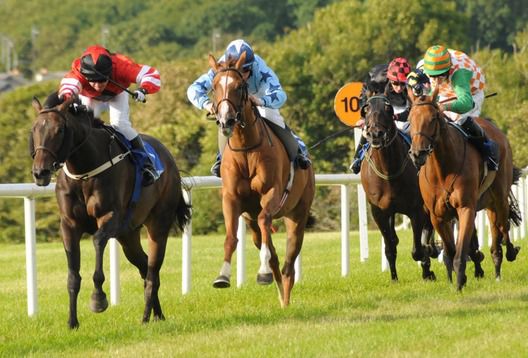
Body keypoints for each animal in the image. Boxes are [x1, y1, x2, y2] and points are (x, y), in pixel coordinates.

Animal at [31, 93, 192, 328]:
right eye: (34, 129)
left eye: (59, 130)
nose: (40, 172)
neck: (85, 171)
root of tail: (168, 157)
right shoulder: (69, 224)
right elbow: (73, 276)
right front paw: (72, 322)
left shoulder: (111, 217)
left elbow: (97, 241)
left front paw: (98, 299)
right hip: (128, 235)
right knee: (144, 266)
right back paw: (157, 314)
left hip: (158, 224)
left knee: (152, 271)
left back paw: (146, 317)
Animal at [206, 51, 314, 306]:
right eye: (214, 87)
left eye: (239, 87)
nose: (226, 120)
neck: (246, 148)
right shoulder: (231, 198)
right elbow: (230, 237)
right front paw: (222, 276)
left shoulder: (272, 193)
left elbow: (266, 220)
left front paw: (262, 272)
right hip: (250, 220)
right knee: (270, 250)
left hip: (298, 214)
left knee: (288, 261)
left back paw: (284, 296)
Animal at [360, 95, 440, 282]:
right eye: (366, 109)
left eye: (388, 109)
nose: (375, 134)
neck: (388, 171)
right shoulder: (379, 212)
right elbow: (390, 246)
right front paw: (394, 278)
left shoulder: (416, 209)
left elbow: (418, 249)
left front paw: (427, 268)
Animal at [406, 87, 520, 290]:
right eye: (410, 119)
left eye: (433, 118)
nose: (417, 153)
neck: (443, 170)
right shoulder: (438, 216)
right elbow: (451, 250)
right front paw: (459, 277)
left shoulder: (466, 208)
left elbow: (460, 252)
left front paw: (459, 283)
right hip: (488, 203)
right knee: (496, 230)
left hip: (499, 197)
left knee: (503, 226)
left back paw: (508, 254)